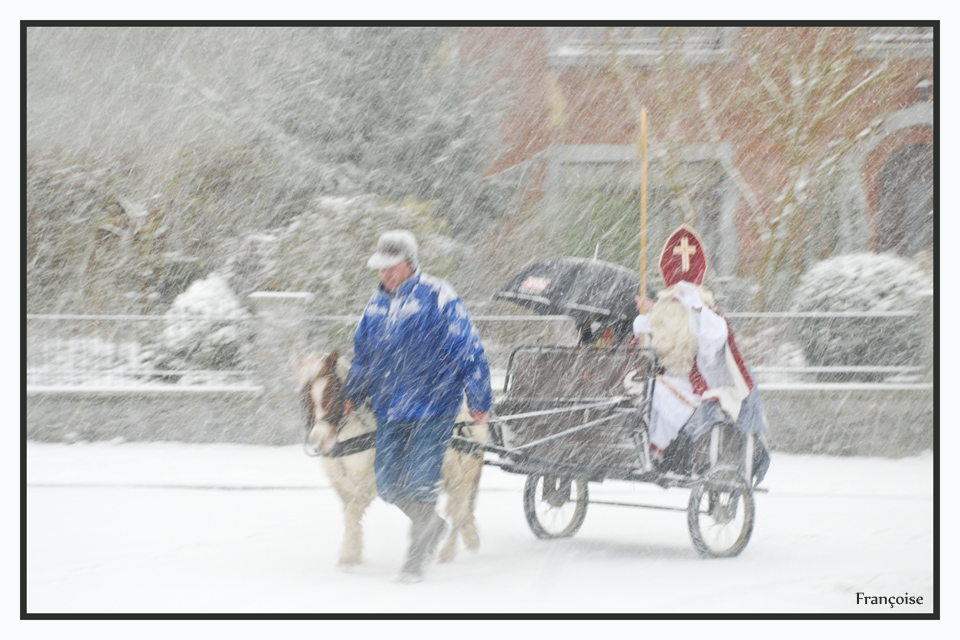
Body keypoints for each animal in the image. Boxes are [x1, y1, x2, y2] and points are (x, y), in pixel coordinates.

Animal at [296, 350, 488, 564]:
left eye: (331, 389)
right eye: (305, 395)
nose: (319, 437)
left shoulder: (369, 481)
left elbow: (352, 512)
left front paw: (348, 555)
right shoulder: (342, 484)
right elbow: (349, 514)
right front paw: (353, 552)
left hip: (460, 477)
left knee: (458, 512)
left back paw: (447, 552)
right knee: (460, 512)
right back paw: (465, 539)